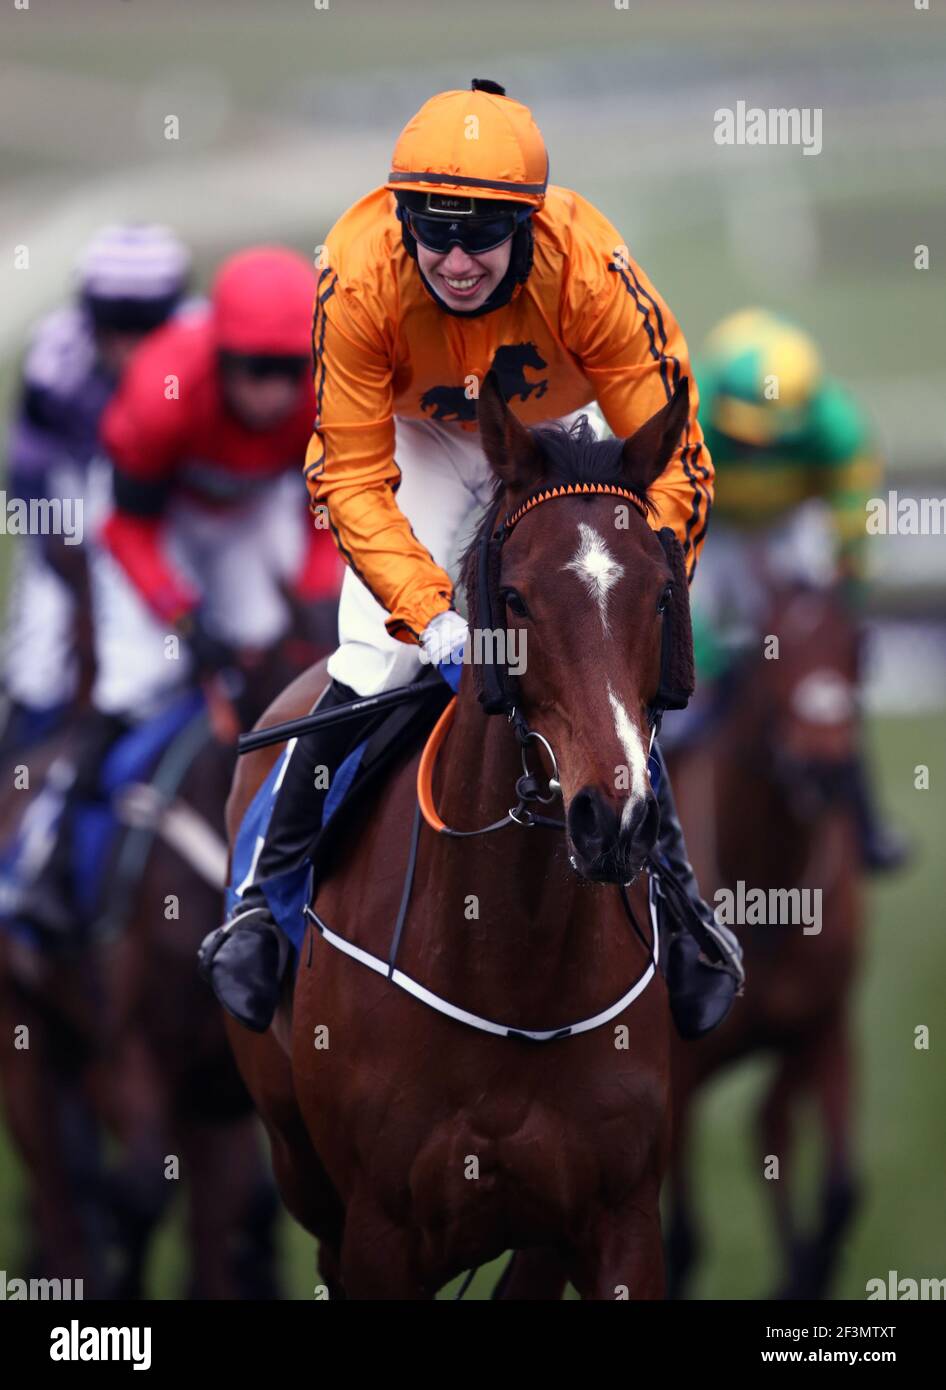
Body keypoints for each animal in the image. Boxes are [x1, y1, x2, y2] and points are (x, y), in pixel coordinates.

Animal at [223, 375, 694, 1295]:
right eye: (514, 600)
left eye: (662, 595)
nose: (615, 820)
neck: (515, 970)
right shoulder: (379, 1232)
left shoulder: (618, 1221)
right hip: (302, 1171)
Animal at [664, 578, 861, 1301]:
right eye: (774, 648)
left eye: (858, 646)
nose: (823, 768)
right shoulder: (677, 1069)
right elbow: (682, 1238)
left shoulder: (823, 1026)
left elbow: (839, 1191)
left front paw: (800, 1275)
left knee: (768, 1129)